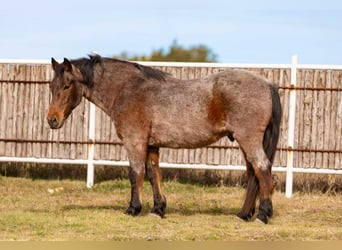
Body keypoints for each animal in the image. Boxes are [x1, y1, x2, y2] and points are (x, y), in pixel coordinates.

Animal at [48, 55, 284, 225]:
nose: (52, 120)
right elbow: (154, 175)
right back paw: (244, 214)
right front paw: (158, 209)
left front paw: (133, 209)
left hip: (249, 140)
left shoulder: (134, 142)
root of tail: (266, 83)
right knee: (253, 174)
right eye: (51, 86)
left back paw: (263, 215)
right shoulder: (152, 145)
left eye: (67, 85)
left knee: (262, 169)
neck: (128, 89)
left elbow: (135, 174)